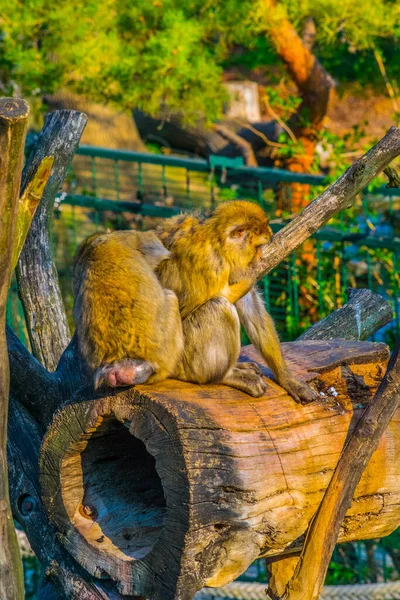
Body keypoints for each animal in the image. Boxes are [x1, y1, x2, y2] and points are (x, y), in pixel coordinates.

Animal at [158, 200, 318, 404]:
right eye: (257, 248)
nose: (260, 257)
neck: (218, 244)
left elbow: (252, 309)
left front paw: (287, 379)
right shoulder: (212, 266)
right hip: (180, 361)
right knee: (218, 306)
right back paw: (224, 376)